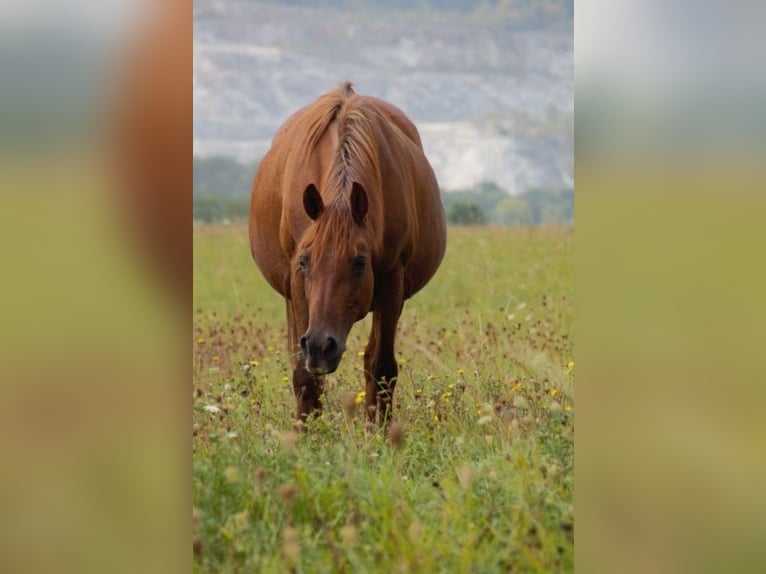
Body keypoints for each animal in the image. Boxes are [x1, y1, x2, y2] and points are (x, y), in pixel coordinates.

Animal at [249, 82, 446, 427]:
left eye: (360, 262)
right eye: (305, 261)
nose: (320, 346)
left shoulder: (391, 282)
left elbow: (380, 366)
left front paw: (377, 432)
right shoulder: (297, 286)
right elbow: (305, 375)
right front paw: (307, 433)